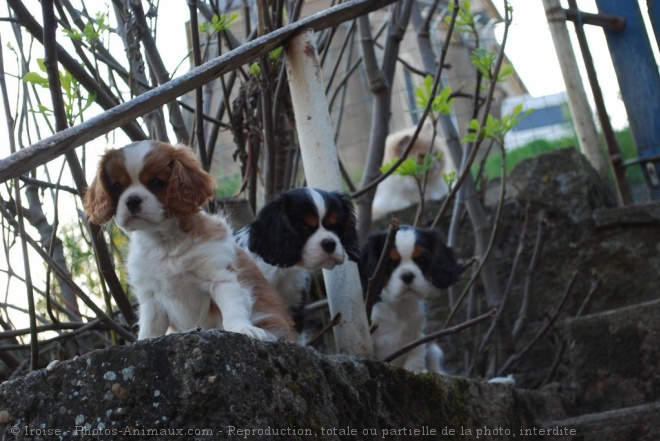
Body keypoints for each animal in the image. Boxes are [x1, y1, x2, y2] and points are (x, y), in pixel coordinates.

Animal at [82, 141, 292, 340]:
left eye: (157, 182)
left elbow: (232, 308)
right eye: (117, 186)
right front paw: (143, 341)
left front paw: (242, 329)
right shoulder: (151, 298)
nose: (132, 200)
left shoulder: (220, 277)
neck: (163, 241)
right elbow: (150, 328)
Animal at [358, 225, 462, 372]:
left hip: (434, 351)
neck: (400, 304)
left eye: (421, 260)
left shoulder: (417, 334)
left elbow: (416, 354)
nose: (407, 276)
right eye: (389, 263)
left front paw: (416, 370)